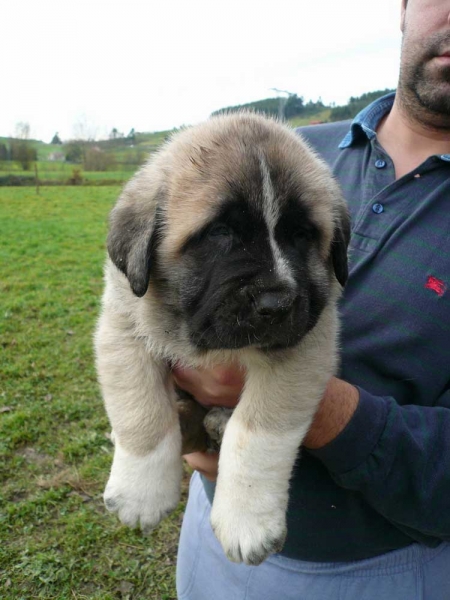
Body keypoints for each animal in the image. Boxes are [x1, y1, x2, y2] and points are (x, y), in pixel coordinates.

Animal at [94, 112, 348, 568]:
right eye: (219, 233)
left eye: (302, 234)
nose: (277, 303)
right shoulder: (123, 327)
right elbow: (141, 413)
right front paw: (140, 495)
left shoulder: (305, 345)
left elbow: (259, 434)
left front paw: (246, 521)